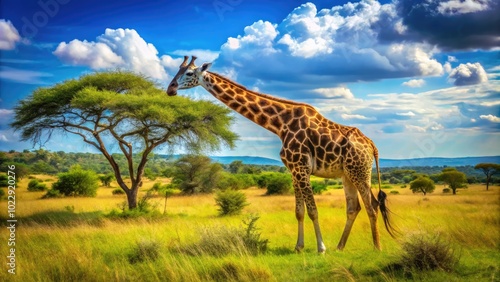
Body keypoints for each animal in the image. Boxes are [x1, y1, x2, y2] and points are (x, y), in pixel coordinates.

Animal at [167, 56, 394, 252]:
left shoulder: (301, 167)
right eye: (177, 70)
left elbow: (313, 210)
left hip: (360, 171)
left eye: (188, 73)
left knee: (372, 205)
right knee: (353, 208)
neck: (279, 125)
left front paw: (321, 248)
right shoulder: (294, 170)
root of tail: (372, 146)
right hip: (347, 174)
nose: (170, 89)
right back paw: (340, 246)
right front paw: (299, 247)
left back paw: (377, 247)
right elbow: (299, 212)